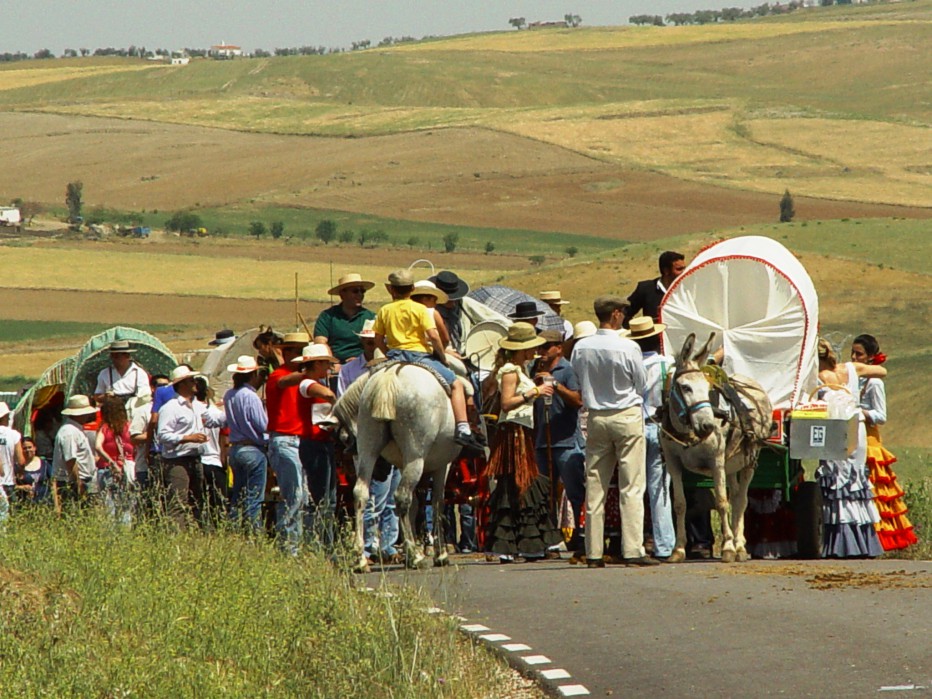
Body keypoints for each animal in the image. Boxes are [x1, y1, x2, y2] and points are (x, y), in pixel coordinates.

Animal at [334, 364, 460, 572]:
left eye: (345, 440)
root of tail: (388, 379)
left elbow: (416, 504)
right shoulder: (442, 464)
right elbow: (437, 503)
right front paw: (440, 554)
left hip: (369, 447)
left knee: (361, 494)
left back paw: (361, 559)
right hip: (415, 455)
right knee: (402, 497)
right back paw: (415, 556)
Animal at [664, 332, 772, 564]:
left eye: (707, 388)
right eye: (685, 387)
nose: (708, 426)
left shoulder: (716, 462)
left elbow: (722, 502)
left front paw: (728, 547)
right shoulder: (672, 463)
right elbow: (679, 504)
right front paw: (678, 549)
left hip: (749, 461)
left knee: (741, 500)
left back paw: (739, 545)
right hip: (731, 465)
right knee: (736, 495)